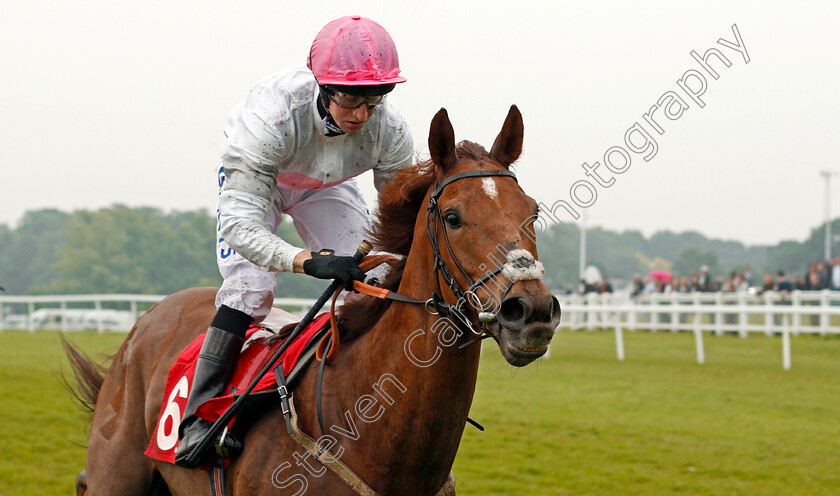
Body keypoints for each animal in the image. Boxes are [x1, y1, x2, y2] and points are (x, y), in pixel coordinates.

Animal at [69, 105, 560, 496]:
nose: (531, 311)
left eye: (532, 212)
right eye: (454, 218)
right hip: (115, 474)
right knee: (244, 288)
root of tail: (149, 318)